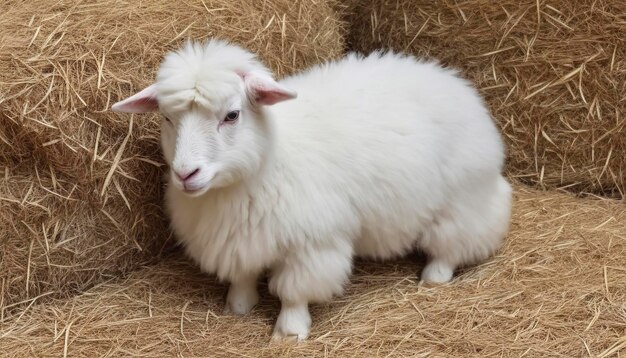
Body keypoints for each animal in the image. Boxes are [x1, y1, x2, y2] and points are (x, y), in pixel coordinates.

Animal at [111, 39, 512, 342]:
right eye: (167, 117)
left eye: (232, 115)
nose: (186, 173)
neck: (266, 163)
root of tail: (448, 77)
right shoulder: (240, 240)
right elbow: (242, 277)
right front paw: (237, 307)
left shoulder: (312, 245)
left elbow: (294, 293)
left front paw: (289, 332)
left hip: (463, 197)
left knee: (457, 238)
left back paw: (435, 276)